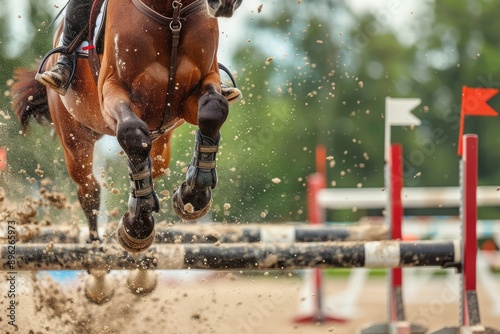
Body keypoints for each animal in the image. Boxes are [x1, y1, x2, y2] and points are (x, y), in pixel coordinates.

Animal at [11, 0, 242, 253]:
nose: (225, 4)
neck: (173, 15)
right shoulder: (113, 90)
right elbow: (131, 133)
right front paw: (137, 225)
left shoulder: (199, 87)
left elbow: (214, 109)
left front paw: (192, 195)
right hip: (74, 138)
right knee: (89, 189)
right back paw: (95, 245)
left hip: (160, 140)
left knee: (154, 163)